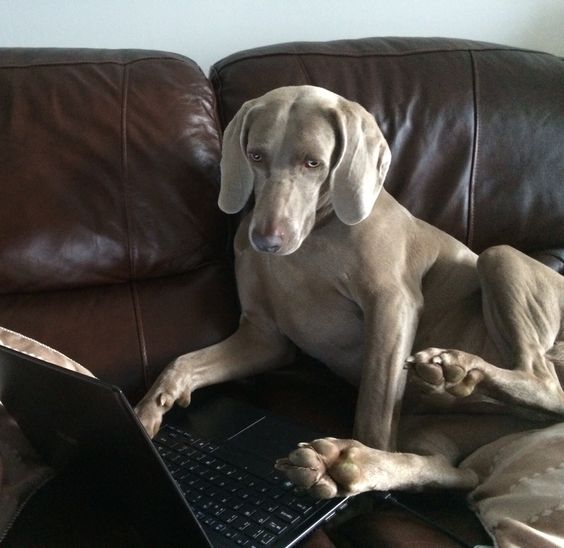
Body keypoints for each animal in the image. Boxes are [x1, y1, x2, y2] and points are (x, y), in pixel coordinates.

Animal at [137, 84, 564, 496]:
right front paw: (149, 409)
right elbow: (183, 362)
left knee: (545, 383)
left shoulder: (392, 304)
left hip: (499, 257)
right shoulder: (263, 337)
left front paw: (354, 451)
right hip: (448, 427)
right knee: (457, 473)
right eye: (256, 155)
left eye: (313, 163)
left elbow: (374, 409)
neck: (315, 236)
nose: (266, 241)